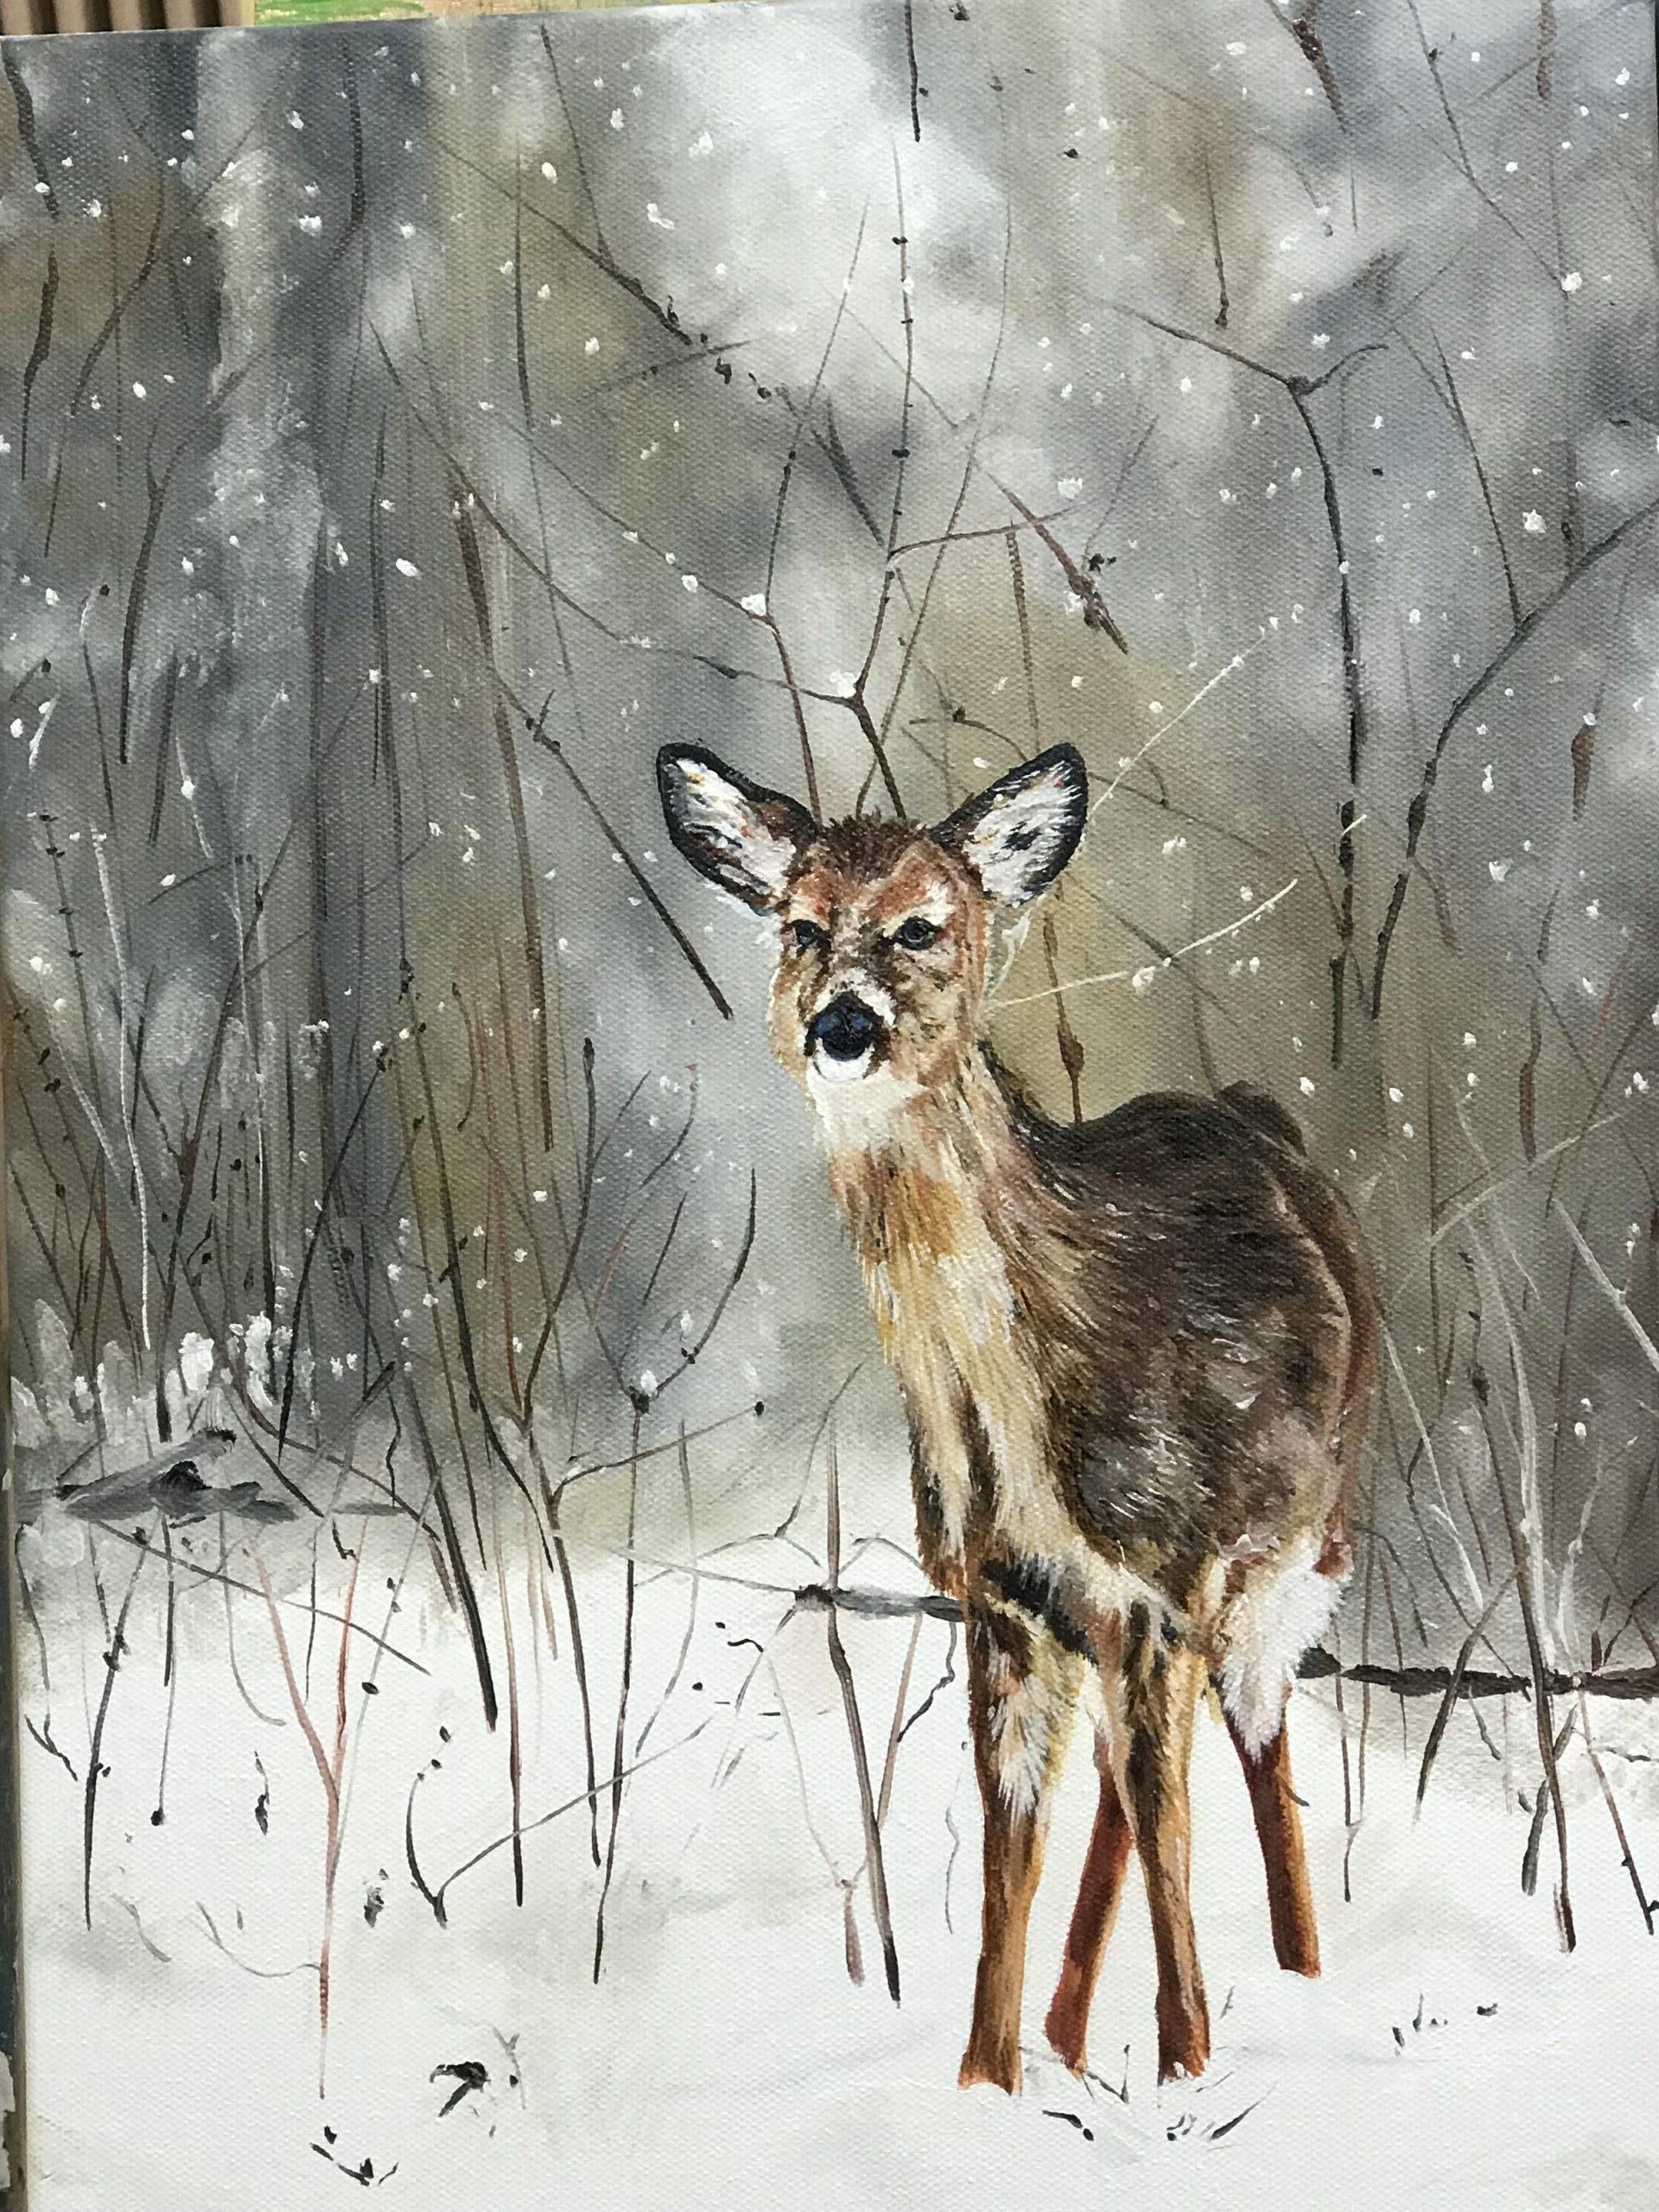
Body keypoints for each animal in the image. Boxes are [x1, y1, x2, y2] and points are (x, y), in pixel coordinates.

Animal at [657, 738, 1378, 2095]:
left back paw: (1302, 1975)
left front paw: (1188, 2070)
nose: (843, 1024)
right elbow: (1013, 1857)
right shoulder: (1002, 1596)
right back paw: (1071, 2030)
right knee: (1123, 1785)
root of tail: (1261, 1115)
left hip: (1295, 1545)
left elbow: (1167, 1838)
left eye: (922, 926)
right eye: (799, 925)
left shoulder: (1163, 1577)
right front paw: (989, 2083)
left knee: (1251, 1745)